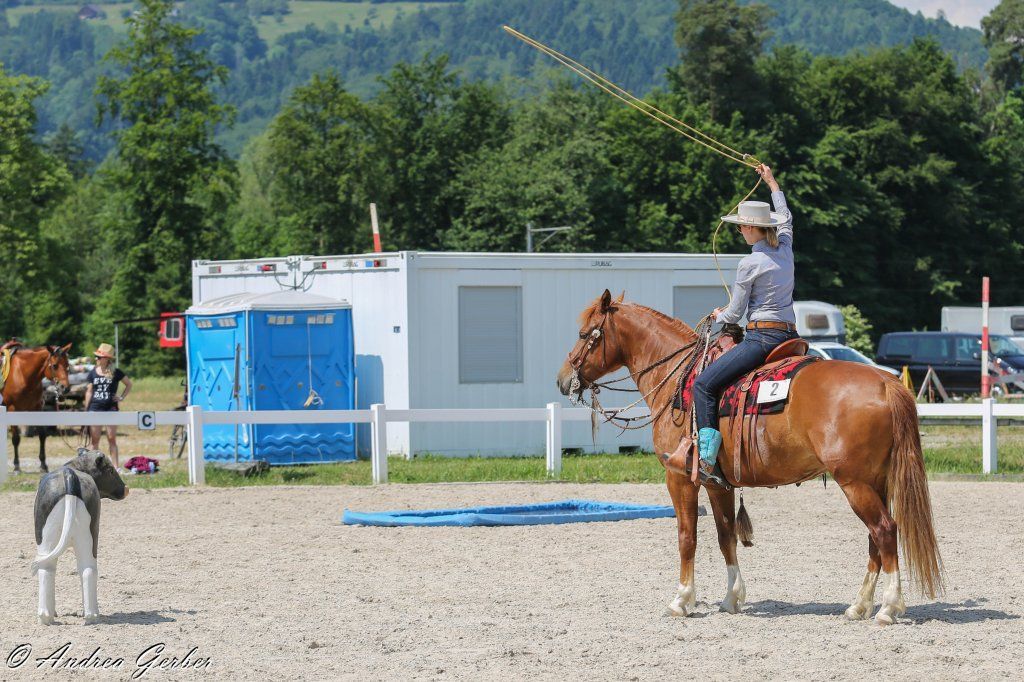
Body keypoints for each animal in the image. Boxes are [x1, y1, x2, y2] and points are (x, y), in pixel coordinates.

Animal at [1, 343, 72, 473]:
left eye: (67, 365)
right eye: (54, 365)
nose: (65, 388)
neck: (22, 375)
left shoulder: (37, 408)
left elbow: (42, 435)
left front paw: (43, 465)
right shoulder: (12, 409)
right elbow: (16, 439)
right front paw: (16, 466)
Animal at [556, 291, 942, 626]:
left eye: (584, 334)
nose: (563, 380)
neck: (680, 379)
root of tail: (886, 384)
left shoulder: (679, 478)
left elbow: (687, 536)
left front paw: (681, 600)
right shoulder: (717, 483)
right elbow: (725, 534)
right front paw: (732, 598)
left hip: (855, 482)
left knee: (885, 531)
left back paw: (887, 608)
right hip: (877, 481)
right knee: (875, 539)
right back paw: (859, 605)